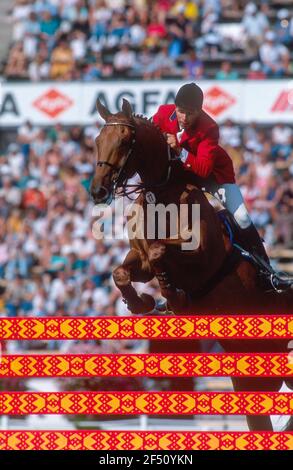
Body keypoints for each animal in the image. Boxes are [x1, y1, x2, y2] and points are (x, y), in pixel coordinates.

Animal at [89, 99, 292, 434]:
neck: (163, 195)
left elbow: (160, 252)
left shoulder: (200, 256)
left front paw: (173, 297)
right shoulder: (139, 259)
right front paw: (143, 302)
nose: (98, 192)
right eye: (96, 141)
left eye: (125, 141)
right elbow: (123, 272)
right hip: (253, 385)